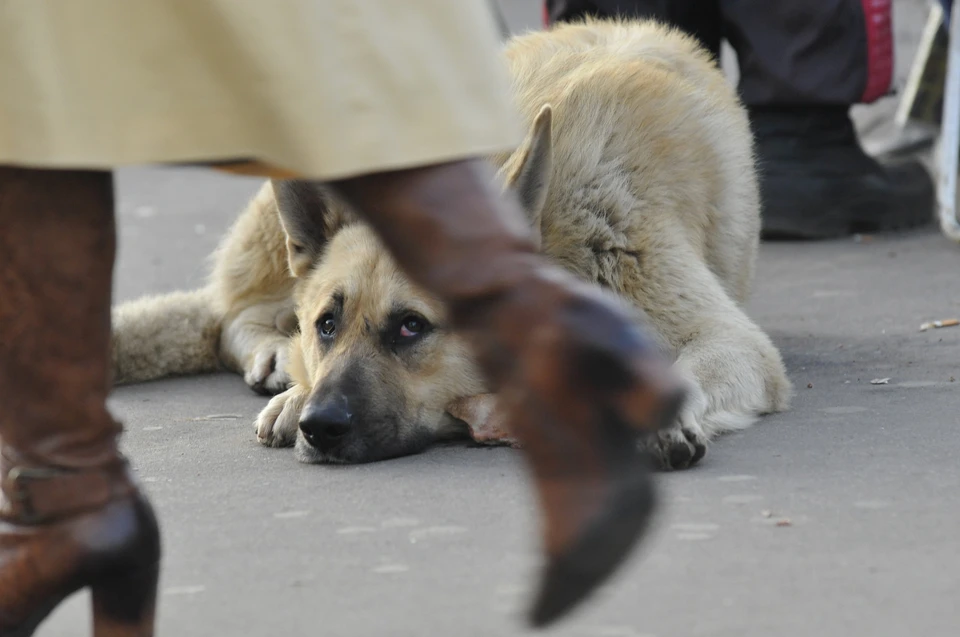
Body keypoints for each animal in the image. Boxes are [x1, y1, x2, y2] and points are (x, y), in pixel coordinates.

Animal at [112, 17, 792, 470]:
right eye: (327, 324)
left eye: (412, 327)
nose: (320, 425)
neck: (558, 236)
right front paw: (296, 389)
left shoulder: (729, 341)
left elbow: (690, 365)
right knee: (233, 314)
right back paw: (280, 360)